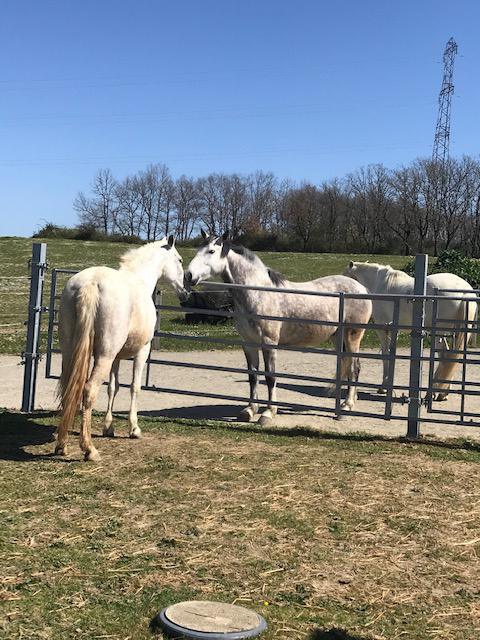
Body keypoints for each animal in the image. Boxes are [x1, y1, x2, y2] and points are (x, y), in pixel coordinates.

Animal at [55, 235, 185, 460]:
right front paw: (134, 429)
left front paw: (108, 427)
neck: (140, 281)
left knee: (68, 387)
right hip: (104, 356)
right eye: (179, 260)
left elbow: (113, 388)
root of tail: (91, 282)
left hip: (72, 352)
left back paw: (62, 445)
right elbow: (135, 387)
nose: (186, 292)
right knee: (89, 390)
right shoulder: (142, 351)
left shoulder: (116, 357)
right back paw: (89, 449)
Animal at [186, 231, 374, 424]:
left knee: (354, 367)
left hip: (353, 336)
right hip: (338, 337)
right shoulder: (248, 343)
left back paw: (347, 405)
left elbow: (270, 377)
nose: (189, 276)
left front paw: (268, 413)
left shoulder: (269, 343)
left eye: (211, 251)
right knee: (347, 366)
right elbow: (253, 376)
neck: (258, 293)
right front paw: (250, 410)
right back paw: (346, 402)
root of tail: (361, 288)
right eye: (198, 249)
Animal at [344, 260, 478, 400]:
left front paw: (384, 387)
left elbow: (386, 354)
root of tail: (465, 293)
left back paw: (433, 393)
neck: (378, 284)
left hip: (439, 333)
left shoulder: (383, 329)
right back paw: (443, 393)